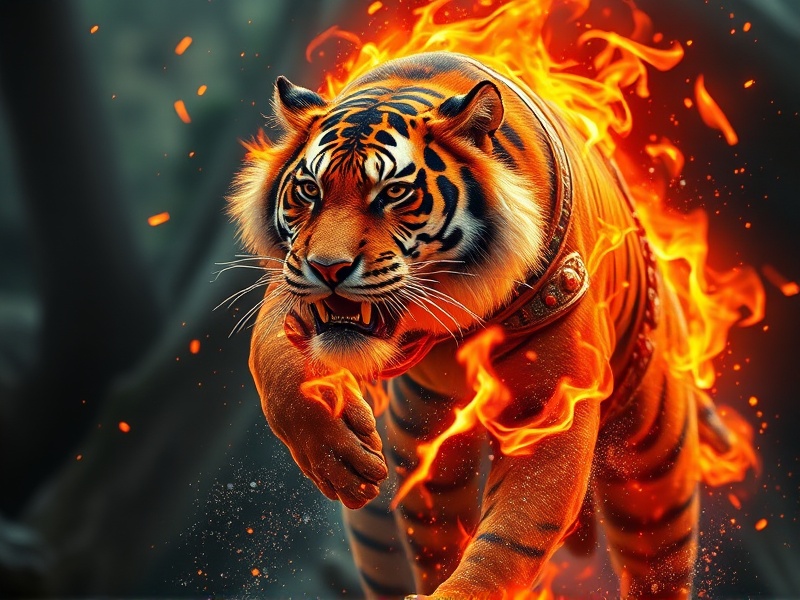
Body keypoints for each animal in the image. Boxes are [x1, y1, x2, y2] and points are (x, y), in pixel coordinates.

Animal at [228, 52, 740, 599]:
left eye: (394, 193)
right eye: (309, 190)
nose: (327, 269)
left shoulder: (552, 402)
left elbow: (514, 531)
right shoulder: (293, 288)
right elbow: (276, 359)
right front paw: (337, 450)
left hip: (654, 463)